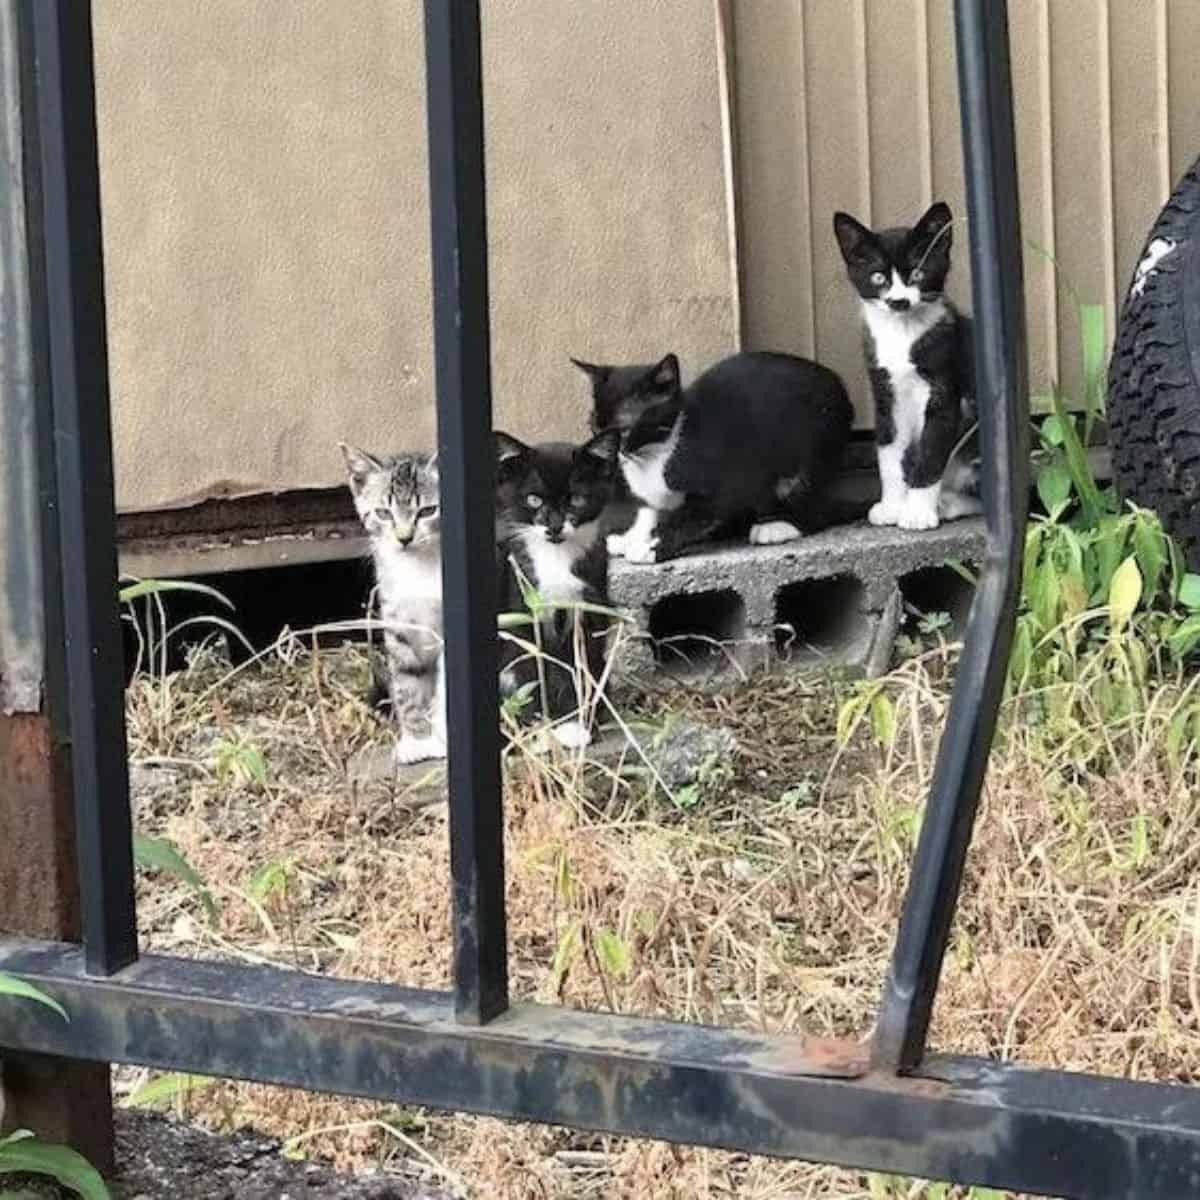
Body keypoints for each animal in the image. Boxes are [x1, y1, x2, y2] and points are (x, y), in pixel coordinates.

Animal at [340, 446, 448, 763]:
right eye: (383, 513)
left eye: (427, 511)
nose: (404, 538)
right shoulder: (399, 624)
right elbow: (408, 684)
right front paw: (416, 741)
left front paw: (442, 737)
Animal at [489, 429, 619, 748]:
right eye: (534, 499)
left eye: (576, 499)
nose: (554, 526)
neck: (557, 558)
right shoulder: (521, 603)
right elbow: (533, 666)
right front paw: (545, 727)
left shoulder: (588, 605)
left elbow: (580, 663)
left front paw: (577, 724)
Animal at [571, 350, 854, 564]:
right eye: (594, 426)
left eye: (624, 430)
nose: (608, 453)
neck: (656, 452)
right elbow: (651, 511)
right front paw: (633, 538)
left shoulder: (725, 481)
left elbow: (694, 518)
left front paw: (650, 548)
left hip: (811, 448)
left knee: (814, 502)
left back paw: (779, 526)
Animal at [830, 201, 979, 530]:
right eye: (877, 278)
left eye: (918, 273)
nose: (898, 301)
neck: (902, 332)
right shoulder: (885, 391)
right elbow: (888, 450)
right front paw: (892, 506)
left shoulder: (944, 388)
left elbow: (931, 449)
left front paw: (917, 512)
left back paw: (948, 503)